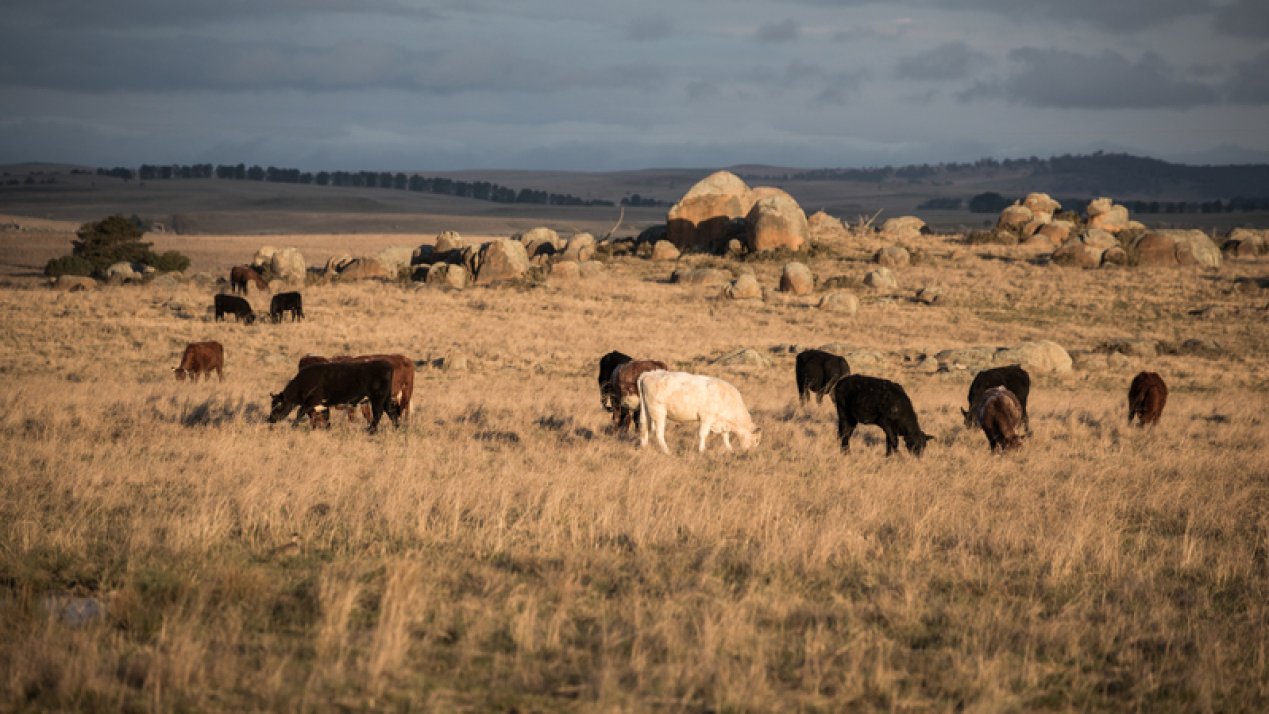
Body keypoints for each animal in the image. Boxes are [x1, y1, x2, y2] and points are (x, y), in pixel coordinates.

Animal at [269, 360, 401, 433]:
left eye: (278, 405)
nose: (270, 419)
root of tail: (386, 364)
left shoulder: (311, 401)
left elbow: (300, 413)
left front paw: (294, 427)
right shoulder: (321, 404)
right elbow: (324, 417)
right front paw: (323, 429)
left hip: (377, 398)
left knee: (378, 413)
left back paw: (370, 431)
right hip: (385, 398)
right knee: (391, 411)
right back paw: (396, 428)